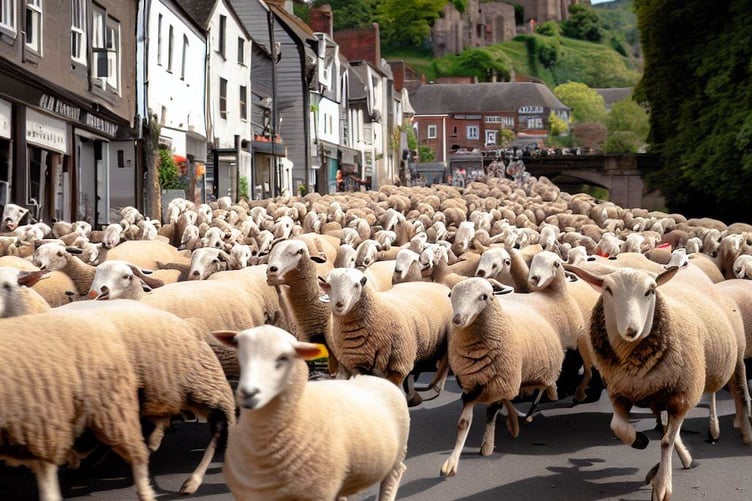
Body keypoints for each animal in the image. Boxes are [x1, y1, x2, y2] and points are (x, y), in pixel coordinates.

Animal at [0, 310, 155, 501]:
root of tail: (102, 322)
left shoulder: (38, 427)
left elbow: (46, 475)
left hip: (112, 406)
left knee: (136, 452)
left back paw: (146, 491)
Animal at [213, 325, 409, 501]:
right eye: (241, 352)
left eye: (283, 358)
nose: (248, 393)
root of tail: (375, 377)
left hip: (398, 453)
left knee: (394, 476)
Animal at [318, 267, 452, 406]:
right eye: (328, 286)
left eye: (357, 285)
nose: (339, 304)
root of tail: (439, 285)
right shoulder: (357, 365)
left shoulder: (398, 363)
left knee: (444, 366)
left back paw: (436, 388)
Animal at [440, 278, 564, 477]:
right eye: (451, 295)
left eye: (484, 296)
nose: (457, 319)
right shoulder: (473, 384)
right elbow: (464, 422)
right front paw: (451, 462)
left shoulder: (499, 382)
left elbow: (491, 411)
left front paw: (487, 446)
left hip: (544, 372)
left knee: (539, 393)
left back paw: (524, 416)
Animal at [566, 265, 752, 501]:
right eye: (608, 290)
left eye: (650, 291)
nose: (631, 329)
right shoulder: (621, 392)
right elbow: (618, 427)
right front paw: (640, 442)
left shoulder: (682, 396)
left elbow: (665, 442)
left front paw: (662, 486)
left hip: (732, 358)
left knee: (734, 392)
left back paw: (739, 430)